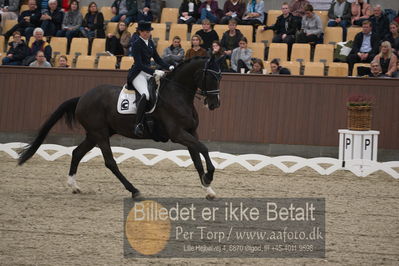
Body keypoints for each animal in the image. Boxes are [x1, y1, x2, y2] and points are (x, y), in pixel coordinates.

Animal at [18, 56, 223, 200]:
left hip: (95, 134)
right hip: (100, 134)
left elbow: (197, 159)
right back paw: (134, 191)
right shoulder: (178, 134)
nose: (215, 104)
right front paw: (209, 177)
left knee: (77, 152)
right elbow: (204, 148)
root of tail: (82, 97)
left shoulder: (191, 132)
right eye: (211, 76)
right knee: (110, 162)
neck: (177, 94)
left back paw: (74, 186)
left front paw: (208, 189)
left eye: (220, 76)